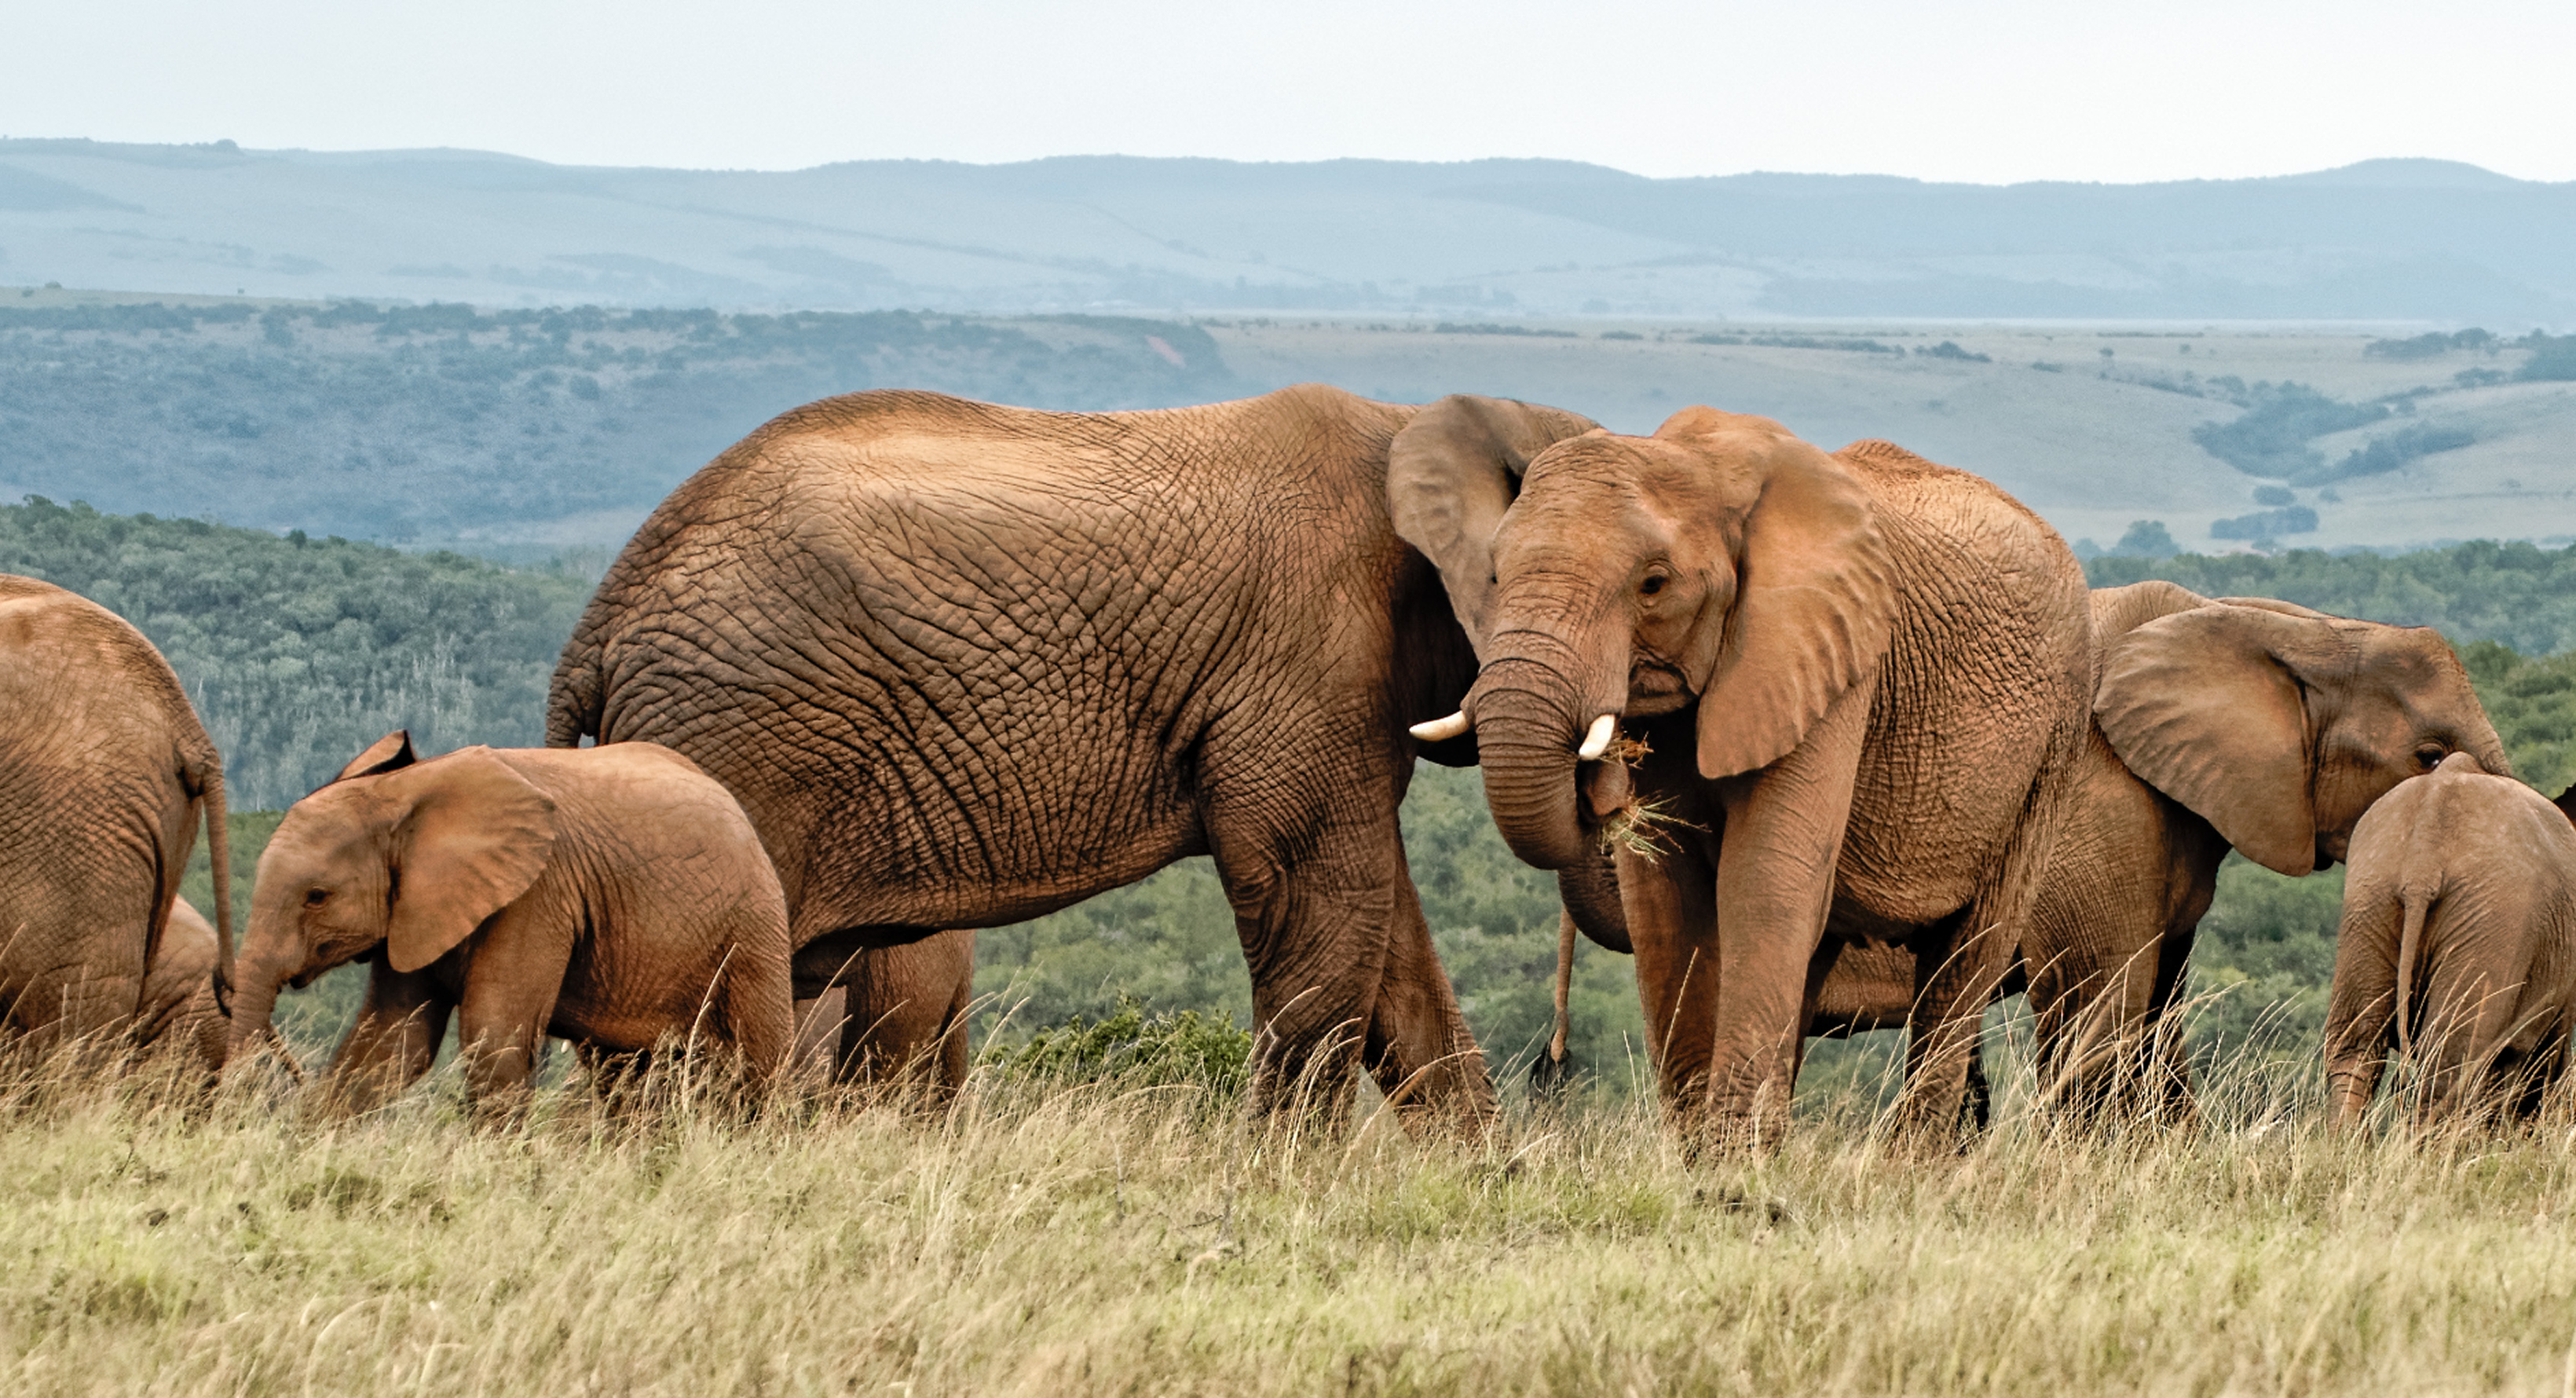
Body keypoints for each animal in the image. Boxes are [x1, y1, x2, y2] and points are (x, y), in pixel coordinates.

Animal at [227, 731, 794, 1114]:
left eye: (316, 897)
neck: (406, 791)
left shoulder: (538, 893)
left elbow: (493, 1040)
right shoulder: (415, 906)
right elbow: (390, 1041)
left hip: (753, 926)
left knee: (759, 1067)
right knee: (626, 1075)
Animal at [548, 385, 1600, 1122]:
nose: (1557, 1064)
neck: (1416, 423)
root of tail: (597, 626)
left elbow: (1387, 944)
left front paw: (1482, 1183)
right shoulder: (1305, 655)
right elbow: (1324, 897)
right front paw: (1282, 1185)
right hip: (744, 746)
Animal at [1391, 402, 2093, 1145]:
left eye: (1653, 584)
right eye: (1494, 575)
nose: (1597, 785)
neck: (1699, 462)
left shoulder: (1831, 658)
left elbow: (1765, 879)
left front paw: (1732, 1161)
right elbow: (1665, 899)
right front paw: (1706, 1153)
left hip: (2052, 748)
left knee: (1964, 958)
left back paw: (1909, 1159)